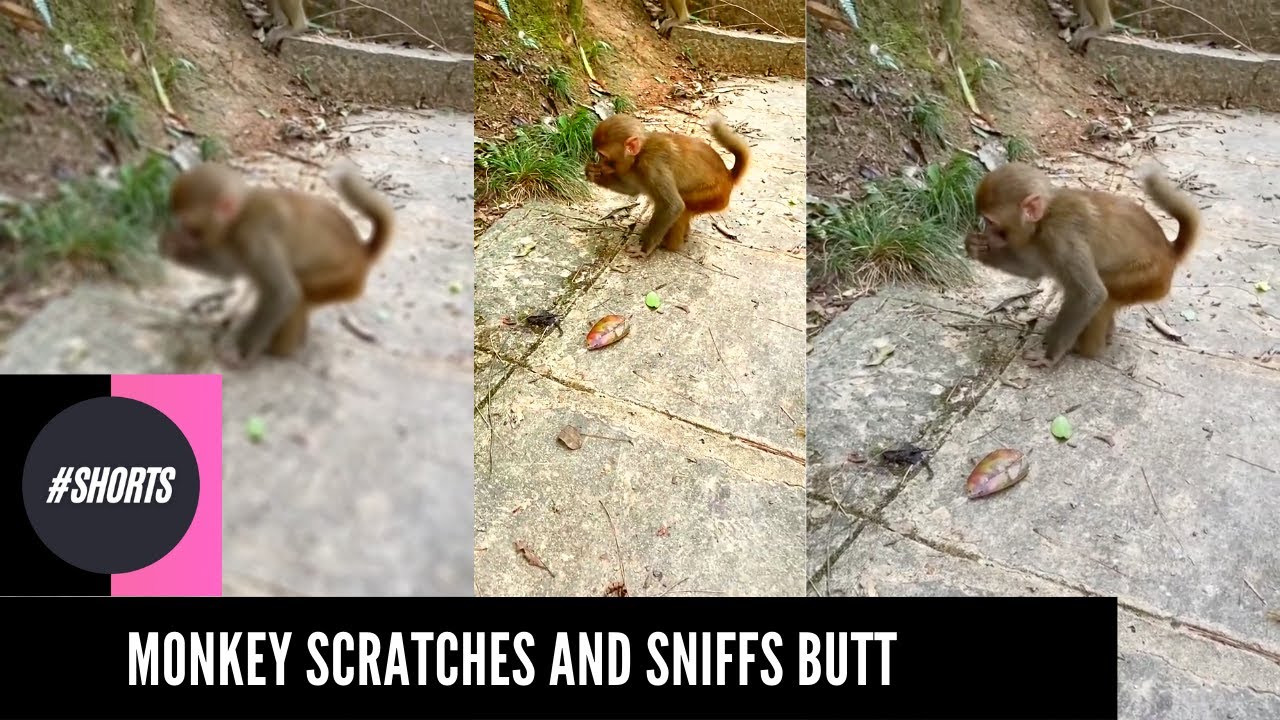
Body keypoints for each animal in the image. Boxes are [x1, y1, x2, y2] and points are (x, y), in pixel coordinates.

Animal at [160, 161, 395, 366]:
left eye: (191, 229)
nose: (182, 236)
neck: (240, 215)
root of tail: (360, 251)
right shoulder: (234, 240)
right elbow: (231, 268)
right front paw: (171, 248)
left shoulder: (253, 235)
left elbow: (282, 292)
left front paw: (242, 354)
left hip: (343, 278)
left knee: (298, 292)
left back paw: (278, 350)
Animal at [585, 113, 750, 259]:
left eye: (603, 156)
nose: (599, 163)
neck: (641, 153)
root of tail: (728, 175)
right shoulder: (636, 169)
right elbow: (633, 190)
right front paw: (593, 174)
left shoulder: (652, 165)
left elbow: (673, 206)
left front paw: (644, 250)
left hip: (713, 195)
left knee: (682, 206)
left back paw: (670, 245)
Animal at [964, 162, 1200, 369]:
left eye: (992, 222)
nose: (986, 233)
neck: (1045, 218)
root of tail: (1169, 250)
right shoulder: (1039, 241)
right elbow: (1034, 270)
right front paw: (976, 248)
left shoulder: (1061, 237)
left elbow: (1091, 295)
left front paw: (1050, 357)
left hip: (1148, 278)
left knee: (1104, 294)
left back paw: (1087, 349)